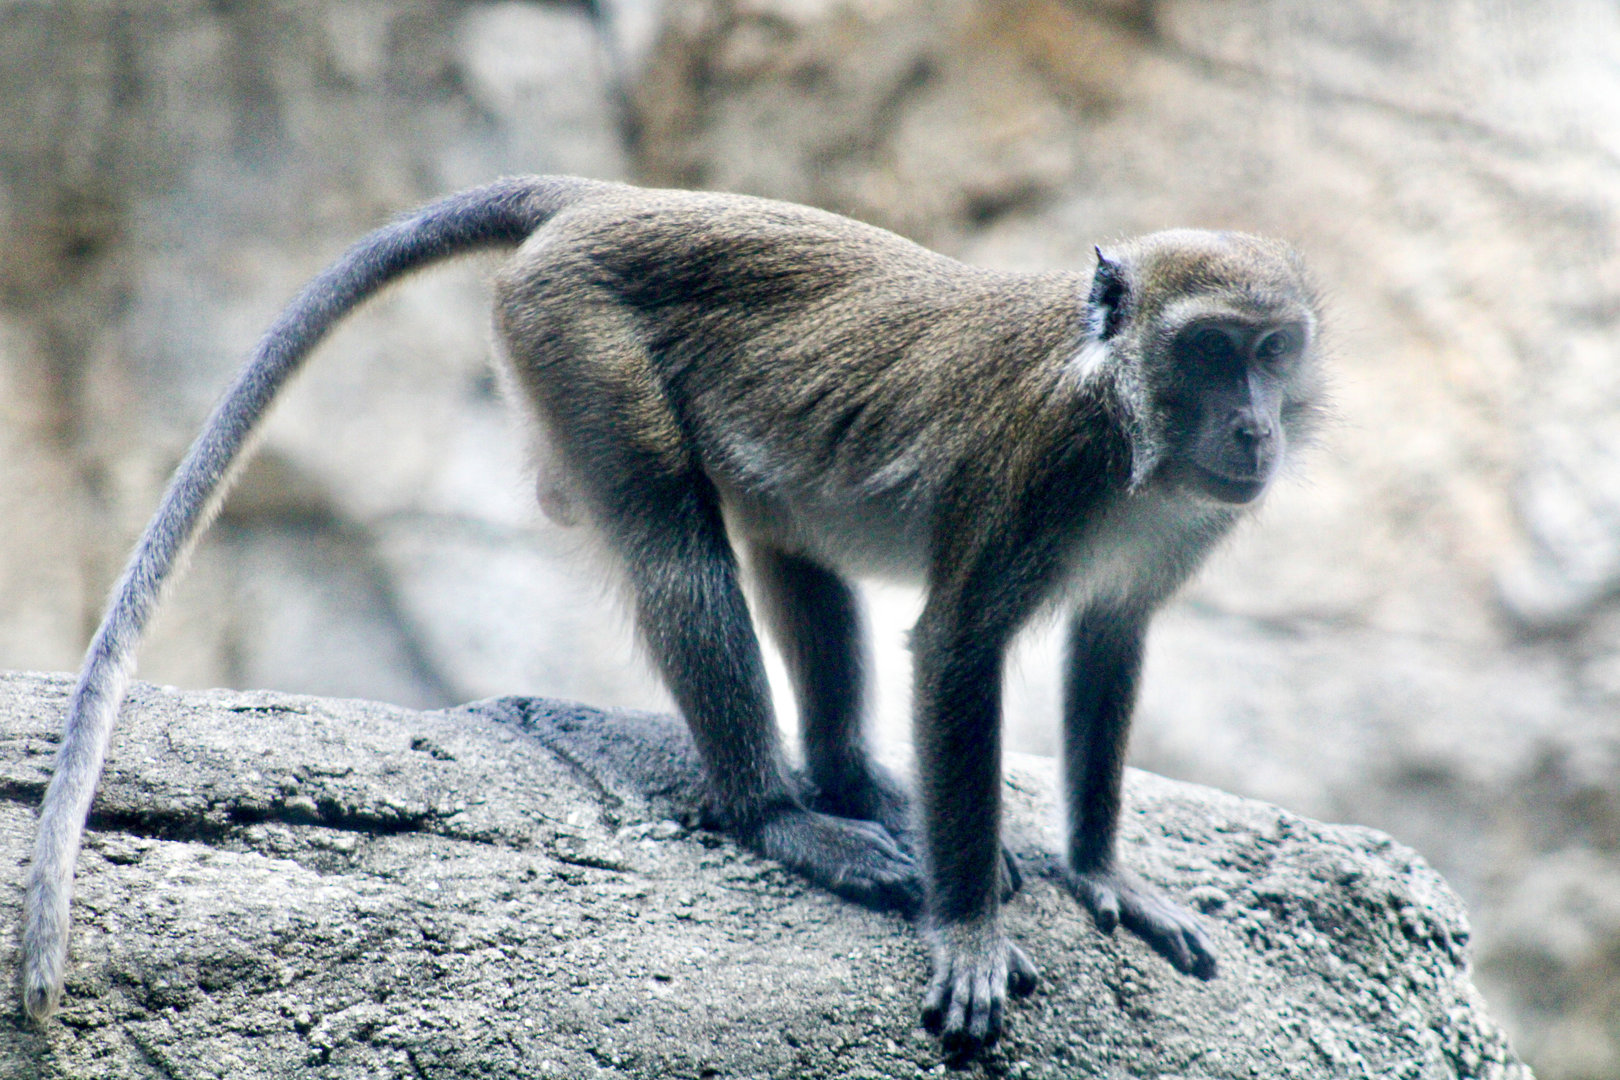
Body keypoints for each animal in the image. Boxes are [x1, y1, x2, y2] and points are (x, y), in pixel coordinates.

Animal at [22, 175, 1323, 1055]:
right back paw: (780, 817)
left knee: (788, 538)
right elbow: (960, 647)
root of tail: (619, 196)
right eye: (1212, 351)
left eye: (1273, 351)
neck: (1130, 435)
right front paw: (964, 934)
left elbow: (1111, 640)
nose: (1255, 427)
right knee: (672, 540)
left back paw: (852, 781)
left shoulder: (1181, 525)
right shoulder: (1043, 463)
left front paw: (1102, 873)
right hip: (573, 331)